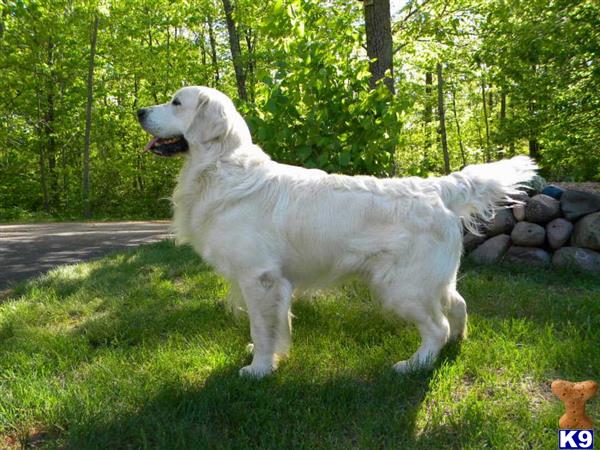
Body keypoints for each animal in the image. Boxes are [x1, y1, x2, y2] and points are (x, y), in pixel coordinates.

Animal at [137, 86, 540, 378]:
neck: (220, 166)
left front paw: (259, 369)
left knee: (436, 325)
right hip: (434, 280)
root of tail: (435, 187)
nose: (138, 111)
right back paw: (457, 342)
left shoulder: (260, 278)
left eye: (176, 102)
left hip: (401, 286)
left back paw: (415, 364)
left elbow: (262, 329)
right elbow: (276, 327)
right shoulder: (274, 282)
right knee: (457, 305)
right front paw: (271, 357)